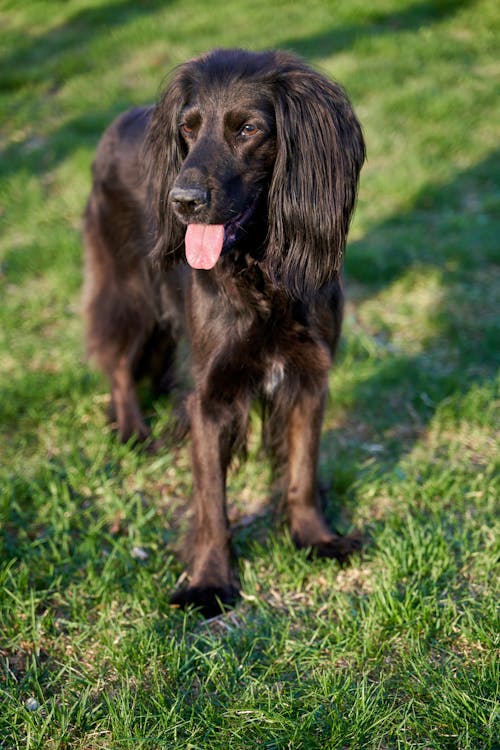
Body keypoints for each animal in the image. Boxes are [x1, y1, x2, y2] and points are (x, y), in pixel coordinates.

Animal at [84, 50, 366, 620]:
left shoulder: (309, 377)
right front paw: (210, 582)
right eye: (187, 129)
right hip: (130, 286)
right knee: (118, 356)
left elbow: (303, 471)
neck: (260, 270)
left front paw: (315, 539)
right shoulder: (212, 398)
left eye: (249, 129)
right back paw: (133, 430)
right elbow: (213, 501)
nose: (182, 200)